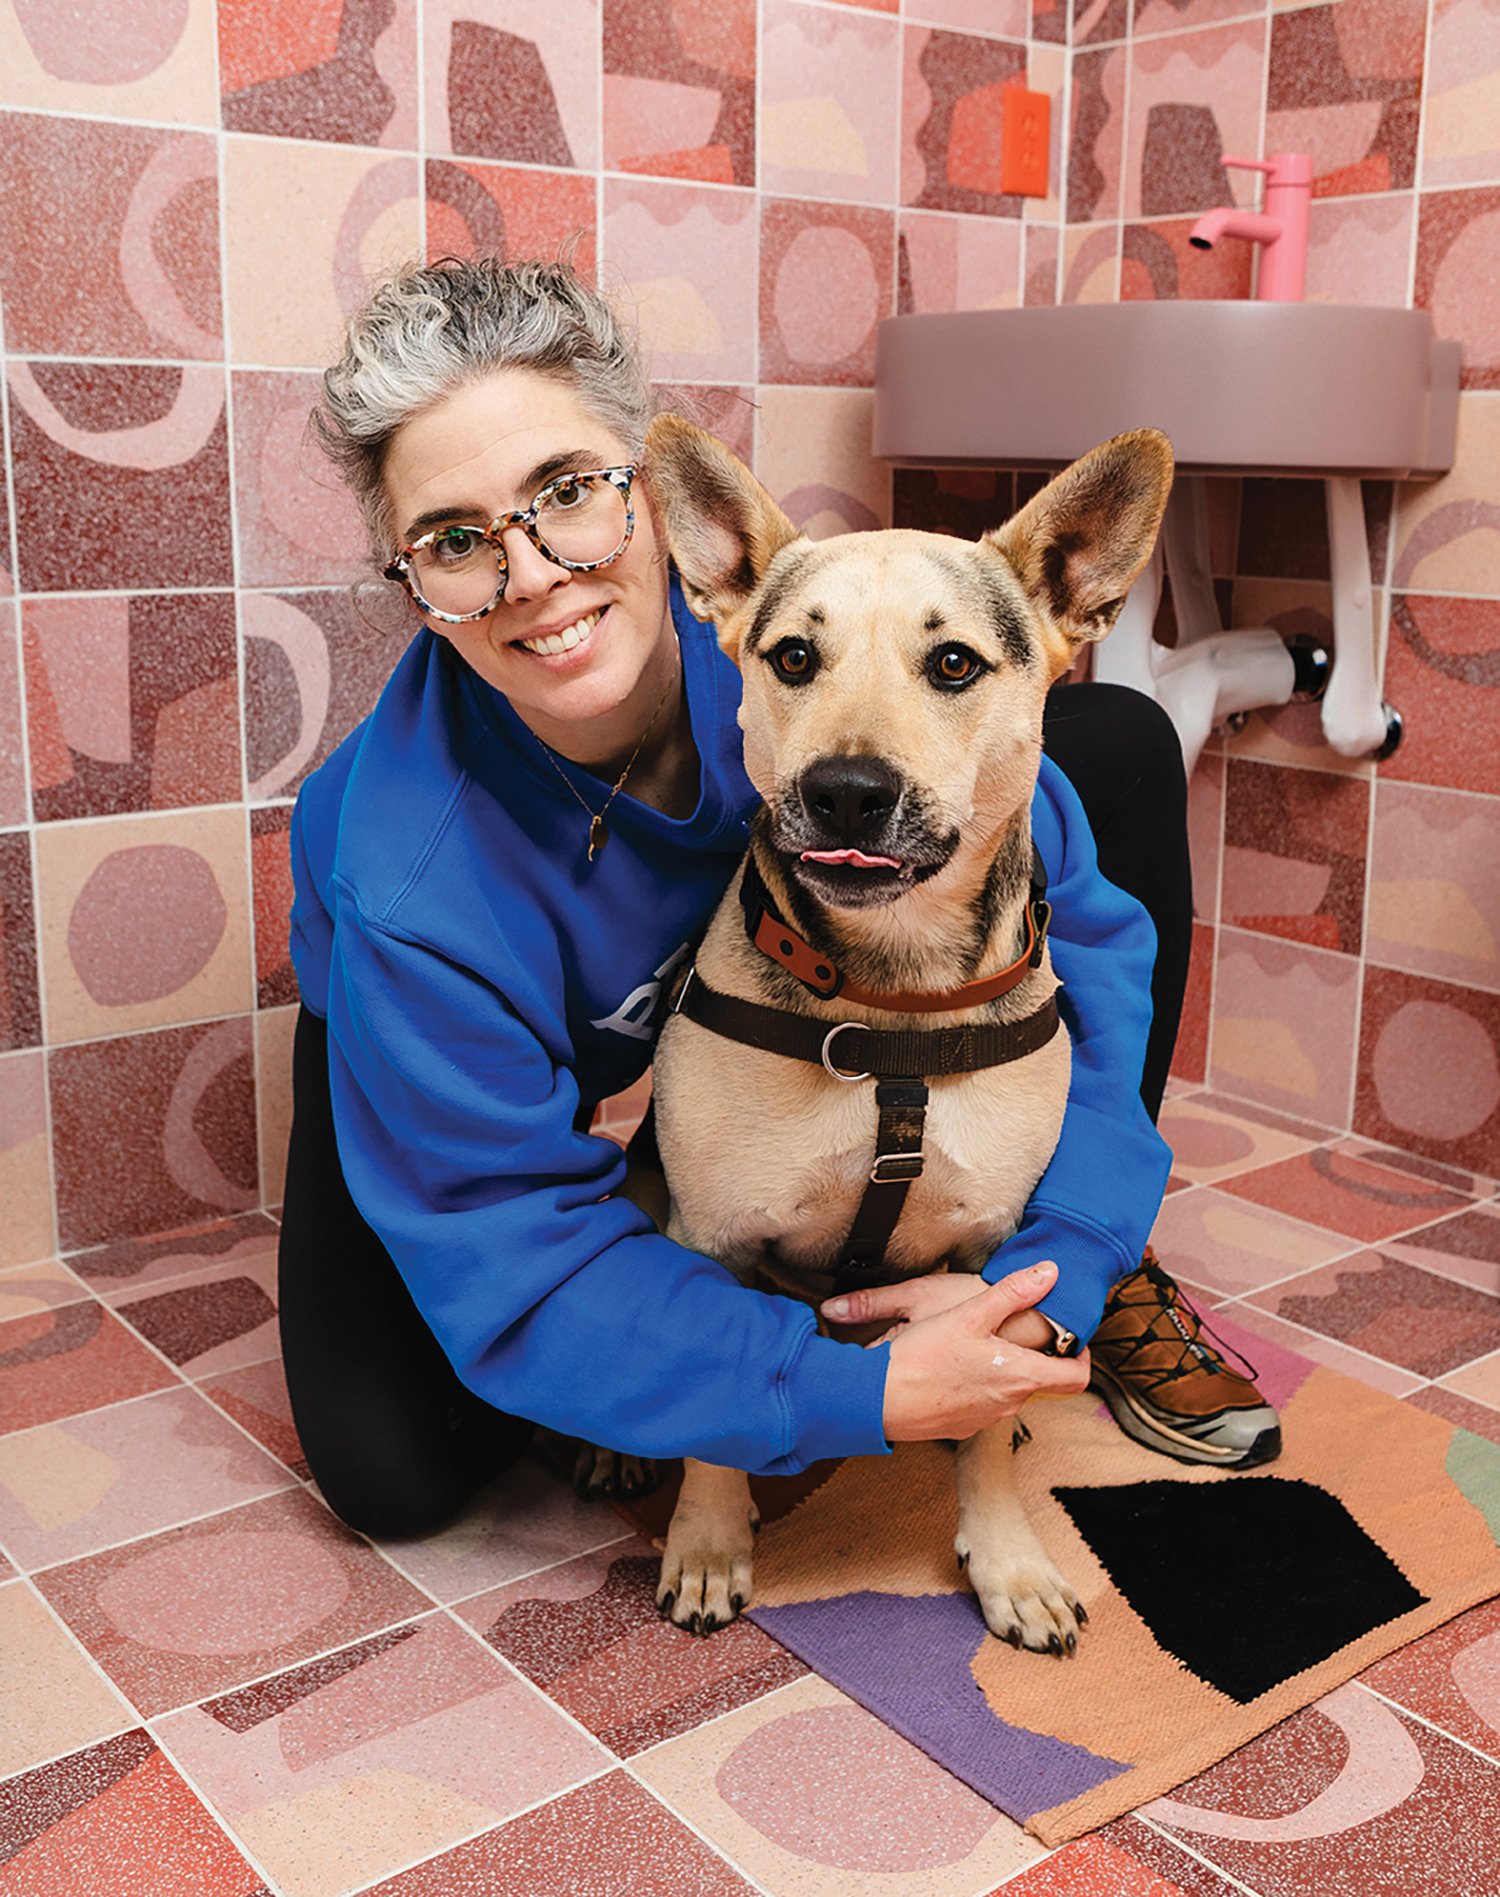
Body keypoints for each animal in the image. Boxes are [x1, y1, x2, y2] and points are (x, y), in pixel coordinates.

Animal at [640, 415, 1175, 1646]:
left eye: (954, 664)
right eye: (794, 658)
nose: (846, 790)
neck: (894, 1002)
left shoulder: (993, 1265)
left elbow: (978, 1418)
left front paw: (1008, 1555)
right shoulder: (711, 1235)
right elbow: (708, 1412)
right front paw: (708, 1538)